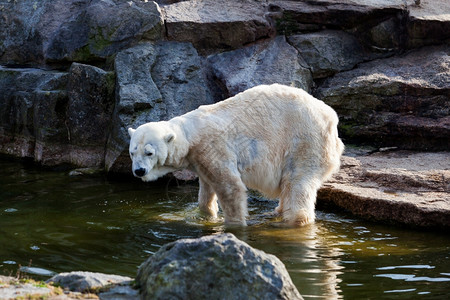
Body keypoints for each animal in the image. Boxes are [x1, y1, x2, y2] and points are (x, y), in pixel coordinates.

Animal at [128, 84, 342, 225]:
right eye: (132, 152)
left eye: (149, 152)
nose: (139, 171)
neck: (190, 135)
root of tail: (331, 117)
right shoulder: (200, 159)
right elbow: (206, 189)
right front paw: (206, 214)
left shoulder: (214, 147)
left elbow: (230, 187)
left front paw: (234, 224)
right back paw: (278, 211)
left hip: (305, 140)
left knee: (298, 181)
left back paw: (295, 219)